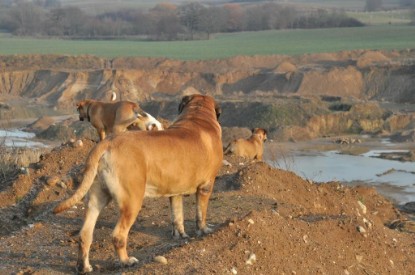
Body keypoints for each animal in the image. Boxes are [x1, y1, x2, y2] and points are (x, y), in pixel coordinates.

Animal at [56, 95, 224, 274]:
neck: (197, 115)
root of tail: (108, 143)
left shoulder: (175, 192)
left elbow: (177, 216)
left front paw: (181, 235)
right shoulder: (206, 186)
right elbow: (201, 213)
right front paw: (204, 230)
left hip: (96, 198)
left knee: (85, 234)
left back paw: (84, 266)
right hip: (132, 201)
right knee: (118, 236)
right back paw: (126, 261)